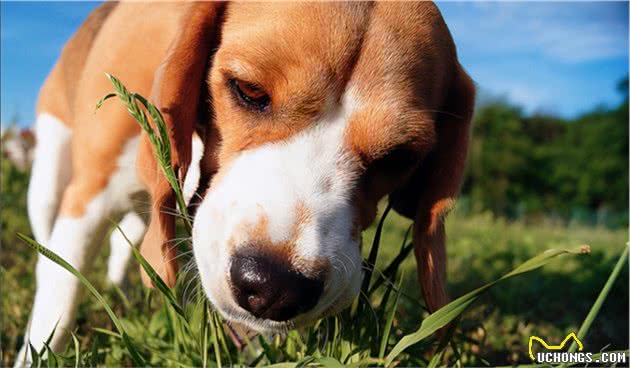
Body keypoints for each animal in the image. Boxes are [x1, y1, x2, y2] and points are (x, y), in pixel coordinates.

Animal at [18, 0, 474, 360]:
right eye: (249, 91)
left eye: (400, 156)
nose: (276, 288)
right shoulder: (88, 197)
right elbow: (59, 293)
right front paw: (38, 350)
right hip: (49, 177)